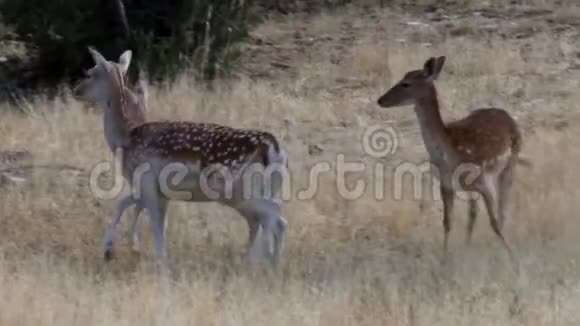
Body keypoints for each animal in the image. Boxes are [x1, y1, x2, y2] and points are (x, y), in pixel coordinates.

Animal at [73, 46, 288, 270]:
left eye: (93, 73)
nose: (77, 90)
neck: (126, 138)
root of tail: (273, 148)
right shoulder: (154, 190)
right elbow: (127, 205)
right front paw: (113, 250)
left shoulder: (147, 181)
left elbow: (155, 225)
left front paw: (162, 262)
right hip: (267, 189)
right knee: (271, 219)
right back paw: (272, 263)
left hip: (241, 191)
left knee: (276, 217)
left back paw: (263, 261)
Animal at [376, 55, 532, 260]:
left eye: (406, 83)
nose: (380, 100)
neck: (449, 155)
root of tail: (508, 115)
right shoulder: (446, 184)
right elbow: (447, 222)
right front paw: (444, 259)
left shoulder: (482, 180)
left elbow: (494, 222)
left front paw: (512, 257)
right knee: (474, 212)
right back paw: (468, 246)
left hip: (509, 164)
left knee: (502, 208)